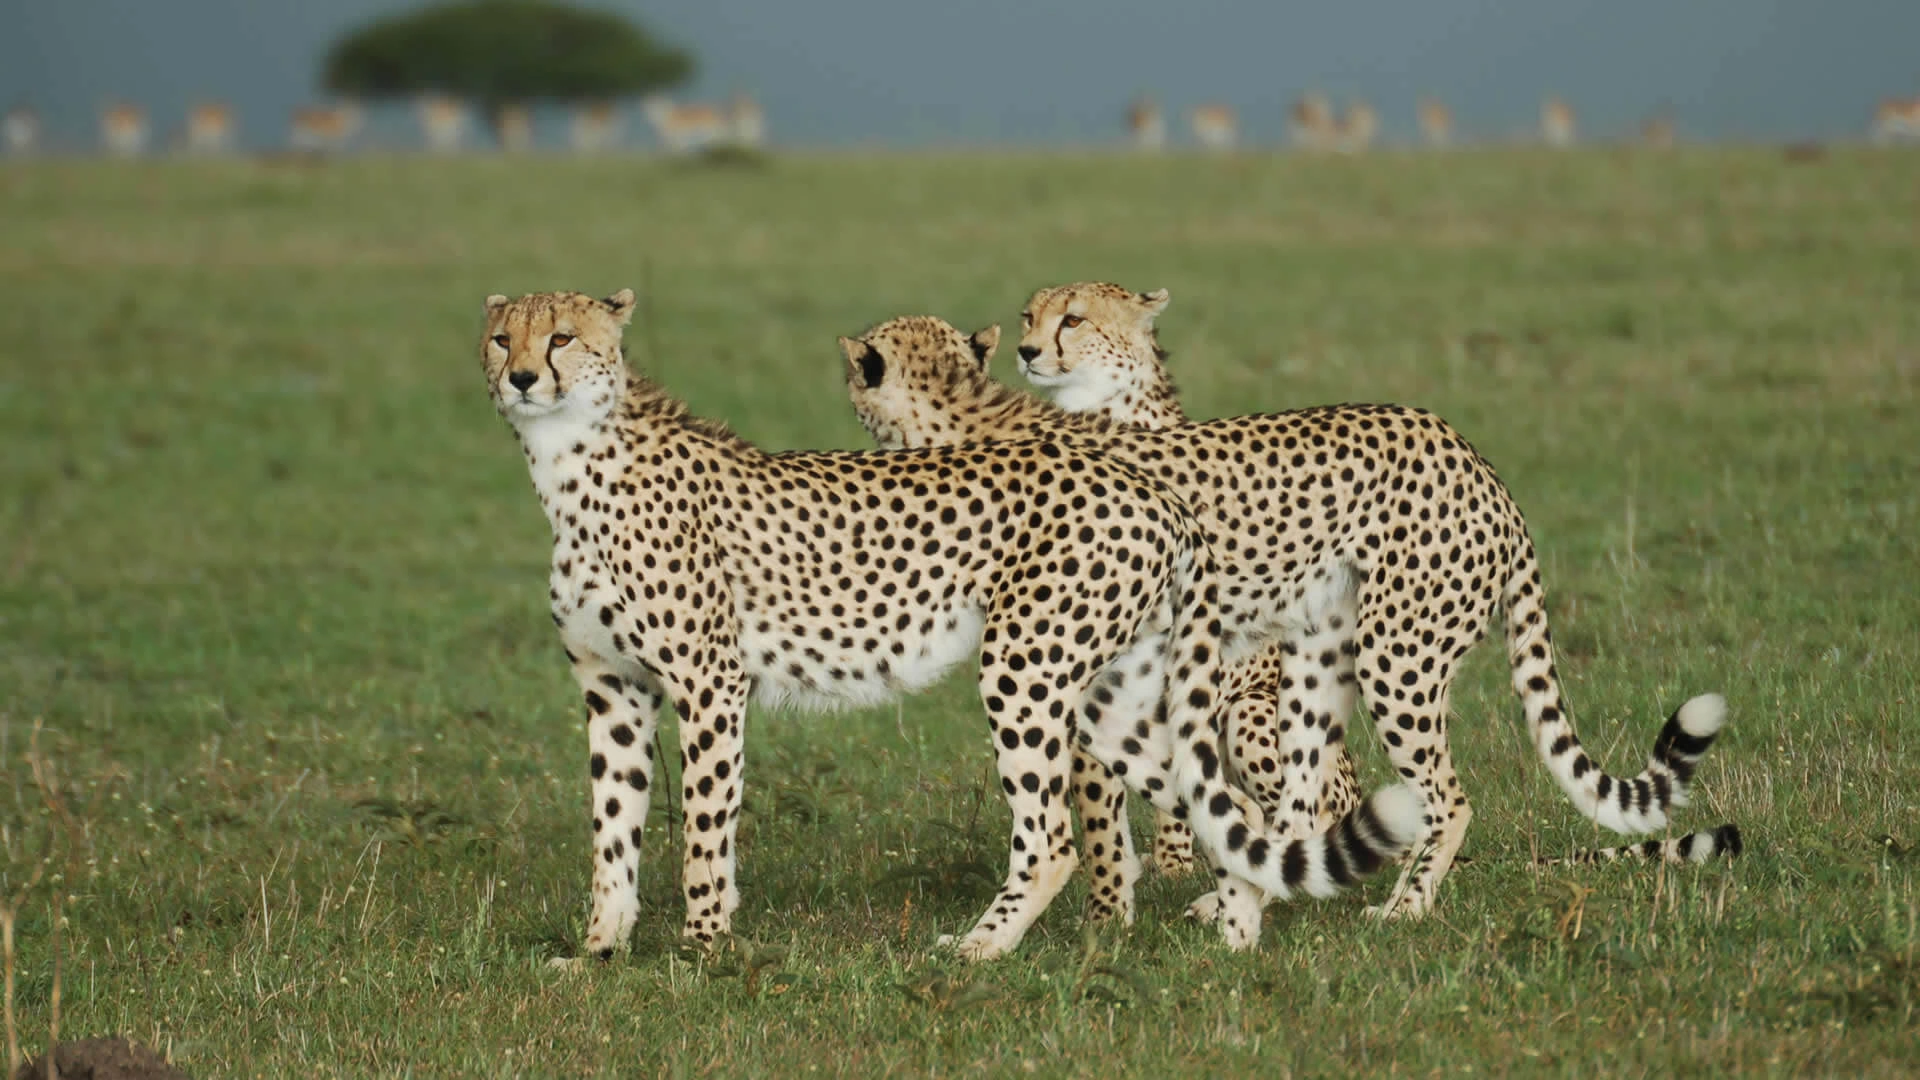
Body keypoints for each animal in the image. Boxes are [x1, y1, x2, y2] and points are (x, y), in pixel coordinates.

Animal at [480, 289, 1423, 965]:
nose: (521, 378)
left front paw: (702, 949)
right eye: (500, 338)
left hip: (1027, 667)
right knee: (1230, 809)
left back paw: (981, 948)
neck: (569, 462)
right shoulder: (612, 690)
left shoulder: (709, 685)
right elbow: (612, 827)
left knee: (1054, 839)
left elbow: (706, 827)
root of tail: (1148, 487)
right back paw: (1236, 926)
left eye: (562, 338)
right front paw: (597, 951)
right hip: (1114, 696)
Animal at [840, 300, 1733, 923]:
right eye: (1028, 320)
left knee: (1433, 800)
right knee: (1309, 804)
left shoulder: (1078, 681)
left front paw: (1101, 923)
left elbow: (1093, 822)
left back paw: (1397, 908)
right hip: (1310, 657)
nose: (1029, 350)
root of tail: (1481, 466)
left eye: (1071, 319)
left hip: (1379, 663)